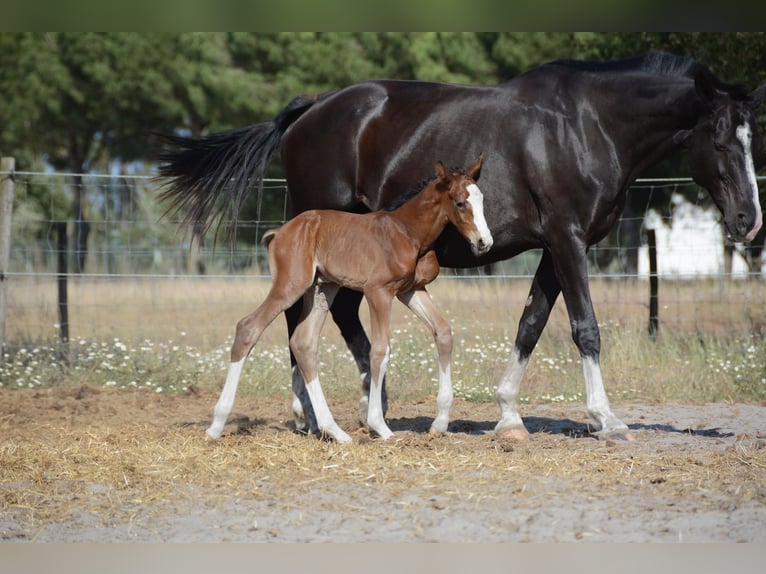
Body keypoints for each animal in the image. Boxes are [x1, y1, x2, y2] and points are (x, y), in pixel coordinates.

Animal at [206, 155, 492, 444]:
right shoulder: (378, 291)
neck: (407, 232)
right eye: (460, 203)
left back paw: (335, 431)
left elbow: (443, 332)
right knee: (249, 327)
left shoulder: (411, 290)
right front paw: (379, 425)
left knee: (303, 343)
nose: (484, 242)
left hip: (322, 289)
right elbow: (379, 350)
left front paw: (440, 422)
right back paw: (216, 425)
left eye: (482, 200)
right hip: (290, 286)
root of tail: (279, 232)